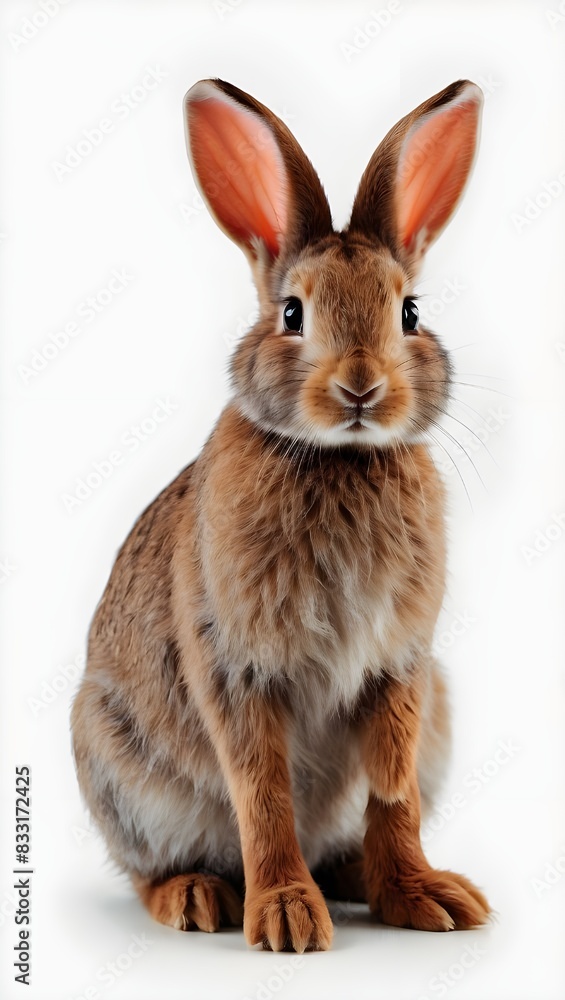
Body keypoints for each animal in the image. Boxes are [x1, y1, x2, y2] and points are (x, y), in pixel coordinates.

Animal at [71, 77, 491, 952]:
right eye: (293, 314)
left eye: (409, 312)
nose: (360, 387)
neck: (339, 458)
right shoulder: (236, 664)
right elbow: (262, 792)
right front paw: (287, 920)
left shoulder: (403, 665)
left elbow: (393, 790)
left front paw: (424, 898)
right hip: (120, 770)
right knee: (146, 869)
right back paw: (200, 897)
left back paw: (382, 883)